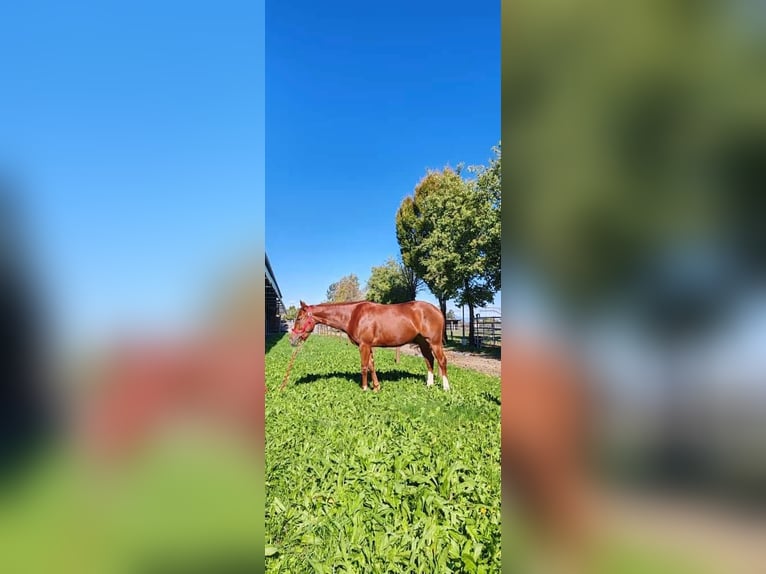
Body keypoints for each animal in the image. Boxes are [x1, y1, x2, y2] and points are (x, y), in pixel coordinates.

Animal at [289, 300, 449, 392]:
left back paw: (446, 388)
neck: (353, 315)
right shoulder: (369, 346)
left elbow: (364, 366)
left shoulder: (364, 345)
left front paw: (365, 388)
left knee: (441, 360)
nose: (291, 339)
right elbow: (372, 366)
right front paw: (376, 388)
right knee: (429, 360)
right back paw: (429, 385)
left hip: (434, 342)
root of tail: (438, 310)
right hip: (423, 342)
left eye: (299, 318)